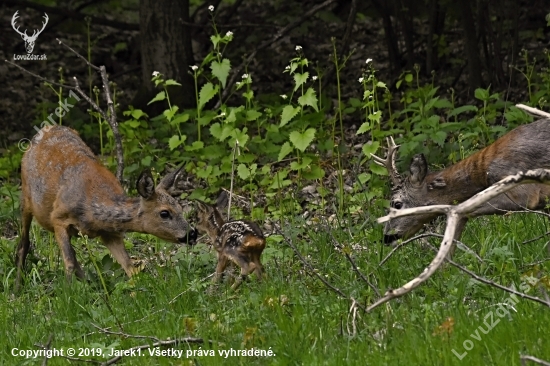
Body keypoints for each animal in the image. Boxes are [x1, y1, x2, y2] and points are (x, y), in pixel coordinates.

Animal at [15, 126, 198, 292]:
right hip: (25, 197)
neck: (92, 211)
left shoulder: (109, 233)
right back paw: (17, 288)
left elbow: (129, 266)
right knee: (24, 242)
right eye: (164, 213)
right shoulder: (58, 217)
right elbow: (69, 263)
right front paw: (68, 297)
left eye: (180, 207)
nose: (192, 234)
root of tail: (45, 128)